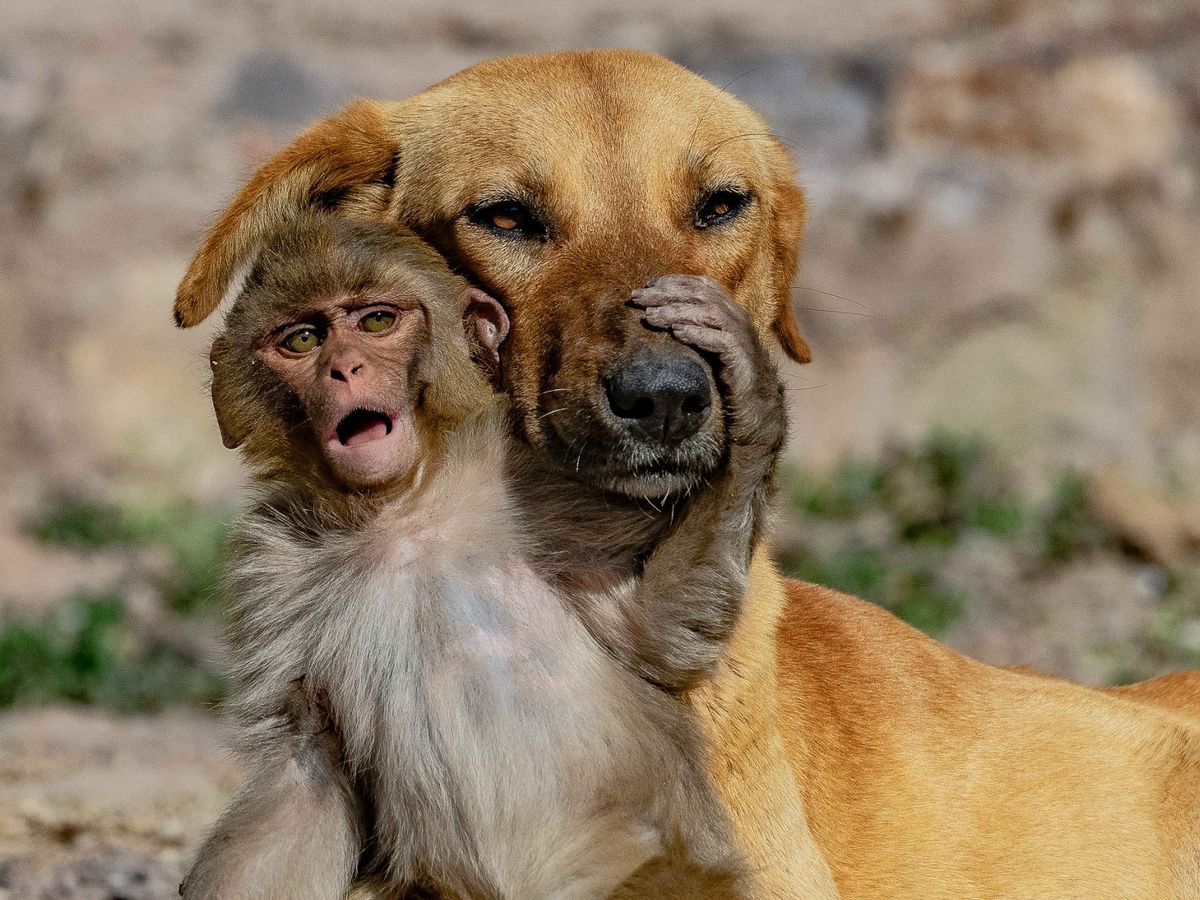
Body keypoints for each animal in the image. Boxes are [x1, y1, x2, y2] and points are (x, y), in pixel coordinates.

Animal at [180, 215, 788, 899]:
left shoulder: (541, 488)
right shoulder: (276, 562)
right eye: (303, 339)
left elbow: (656, 633)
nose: (344, 369)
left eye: (376, 322)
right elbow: (307, 754)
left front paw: (751, 396)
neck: (401, 510)